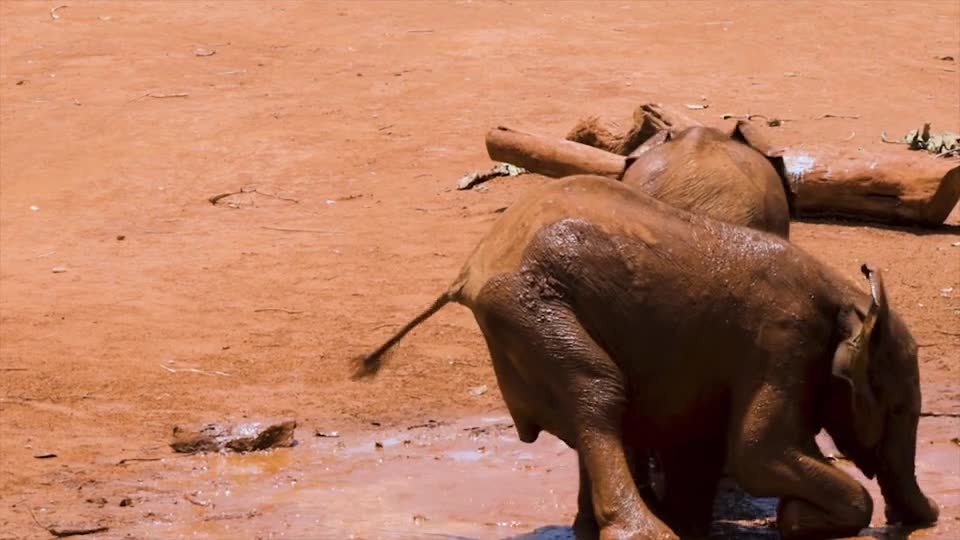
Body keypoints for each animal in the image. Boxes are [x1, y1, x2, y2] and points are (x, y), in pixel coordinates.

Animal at [354, 175, 936, 536]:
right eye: (898, 408)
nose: (927, 517)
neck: (850, 300)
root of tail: (471, 266)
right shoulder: (785, 342)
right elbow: (758, 452)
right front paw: (799, 519)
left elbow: (704, 445)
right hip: (529, 306)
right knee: (599, 392)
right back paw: (646, 532)